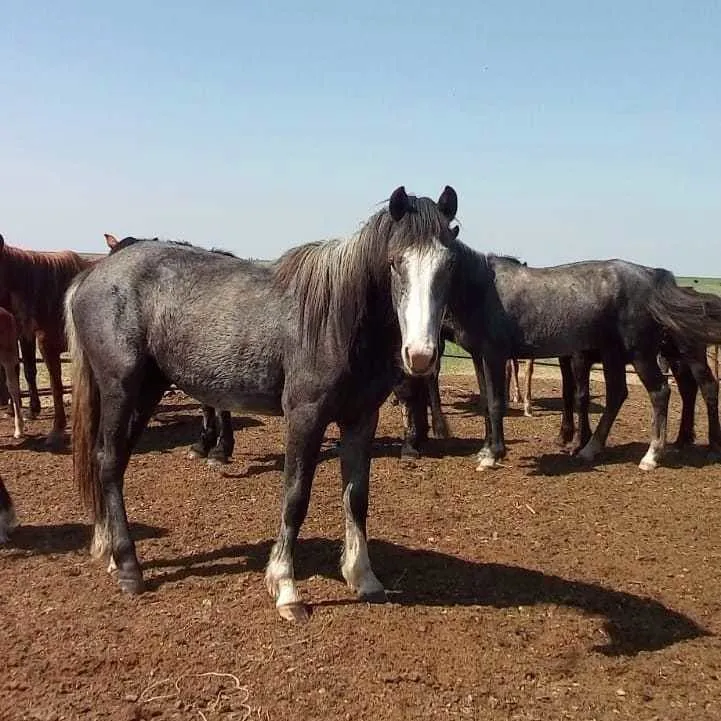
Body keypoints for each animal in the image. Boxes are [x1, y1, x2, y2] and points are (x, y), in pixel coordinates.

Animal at [69, 186, 462, 620]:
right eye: (395, 262)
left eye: (449, 263)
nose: (421, 356)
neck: (336, 320)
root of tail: (93, 275)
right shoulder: (305, 418)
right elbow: (295, 497)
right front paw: (286, 588)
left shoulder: (361, 419)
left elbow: (356, 497)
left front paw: (363, 577)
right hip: (120, 388)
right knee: (107, 462)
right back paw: (129, 568)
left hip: (147, 390)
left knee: (113, 461)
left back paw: (109, 552)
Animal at [448, 248, 720, 472]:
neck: (486, 289)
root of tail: (654, 278)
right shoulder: (486, 356)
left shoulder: (564, 359)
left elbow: (576, 397)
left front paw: (494, 454)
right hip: (629, 356)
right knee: (630, 393)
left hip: (647, 354)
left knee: (669, 391)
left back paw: (657, 455)